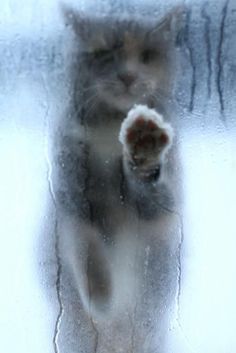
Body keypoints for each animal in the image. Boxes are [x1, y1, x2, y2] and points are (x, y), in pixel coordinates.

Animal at [54, 2, 184, 338]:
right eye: (103, 52)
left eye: (148, 55)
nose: (127, 75)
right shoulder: (71, 192)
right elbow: (83, 243)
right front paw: (100, 295)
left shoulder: (164, 204)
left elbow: (158, 201)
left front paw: (144, 144)